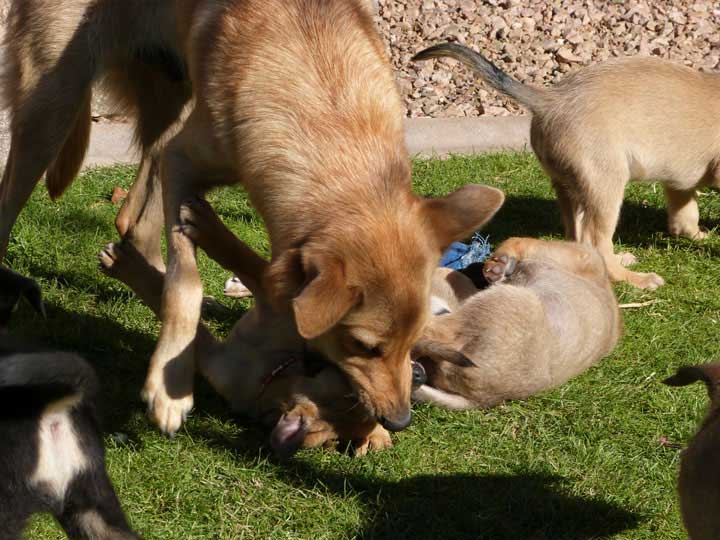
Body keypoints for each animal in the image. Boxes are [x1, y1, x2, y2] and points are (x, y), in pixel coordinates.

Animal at [2, 2, 504, 434]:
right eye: (362, 346)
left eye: (416, 337)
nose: (400, 421)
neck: (330, 117)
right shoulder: (182, 161)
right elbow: (186, 285)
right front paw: (170, 386)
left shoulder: (182, 161)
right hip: (52, 109)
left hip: (174, 102)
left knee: (134, 220)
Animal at [410, 42, 720, 292]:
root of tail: (549, 100)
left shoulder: (680, 183)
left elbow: (684, 216)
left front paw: (697, 235)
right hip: (606, 185)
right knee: (598, 244)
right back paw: (636, 279)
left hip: (571, 187)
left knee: (580, 240)